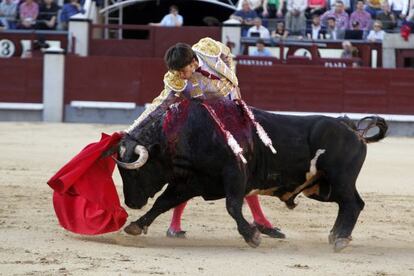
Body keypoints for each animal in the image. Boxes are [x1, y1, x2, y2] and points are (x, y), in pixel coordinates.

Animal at [114, 98, 388, 251]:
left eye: (135, 173)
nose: (131, 203)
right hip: (322, 187)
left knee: (353, 204)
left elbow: (233, 206)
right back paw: (336, 235)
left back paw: (340, 239)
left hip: (340, 179)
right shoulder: (189, 182)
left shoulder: (235, 175)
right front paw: (136, 226)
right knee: (348, 205)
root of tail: (351, 127)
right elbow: (163, 203)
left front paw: (252, 236)